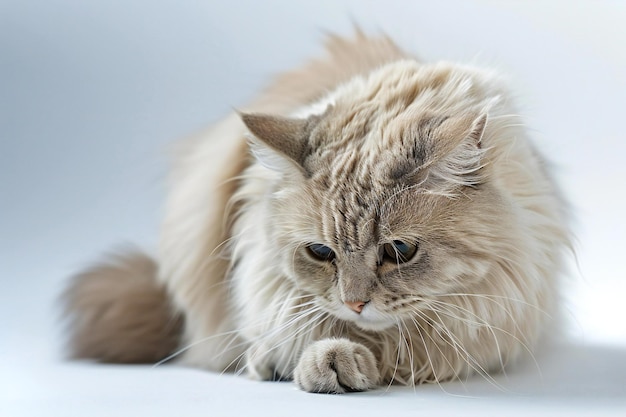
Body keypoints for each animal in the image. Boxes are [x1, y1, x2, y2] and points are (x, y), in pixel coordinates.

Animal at [62, 30, 564, 392]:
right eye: (322, 253)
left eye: (400, 251)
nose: (355, 303)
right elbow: (295, 327)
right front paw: (300, 361)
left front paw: (341, 362)